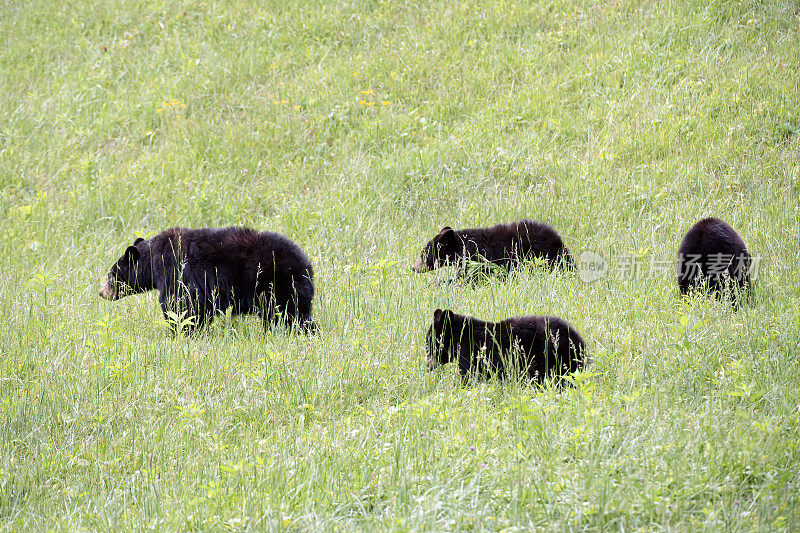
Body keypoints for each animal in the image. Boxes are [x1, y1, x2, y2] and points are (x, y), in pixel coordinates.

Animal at [98, 225, 314, 332]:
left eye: (111, 275)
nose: (101, 293)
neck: (154, 259)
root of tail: (306, 264)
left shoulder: (178, 271)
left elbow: (182, 304)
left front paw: (183, 331)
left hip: (276, 285)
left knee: (289, 314)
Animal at [424, 308, 588, 382]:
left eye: (429, 343)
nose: (428, 366)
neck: (462, 336)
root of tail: (576, 338)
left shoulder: (472, 353)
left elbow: (470, 376)